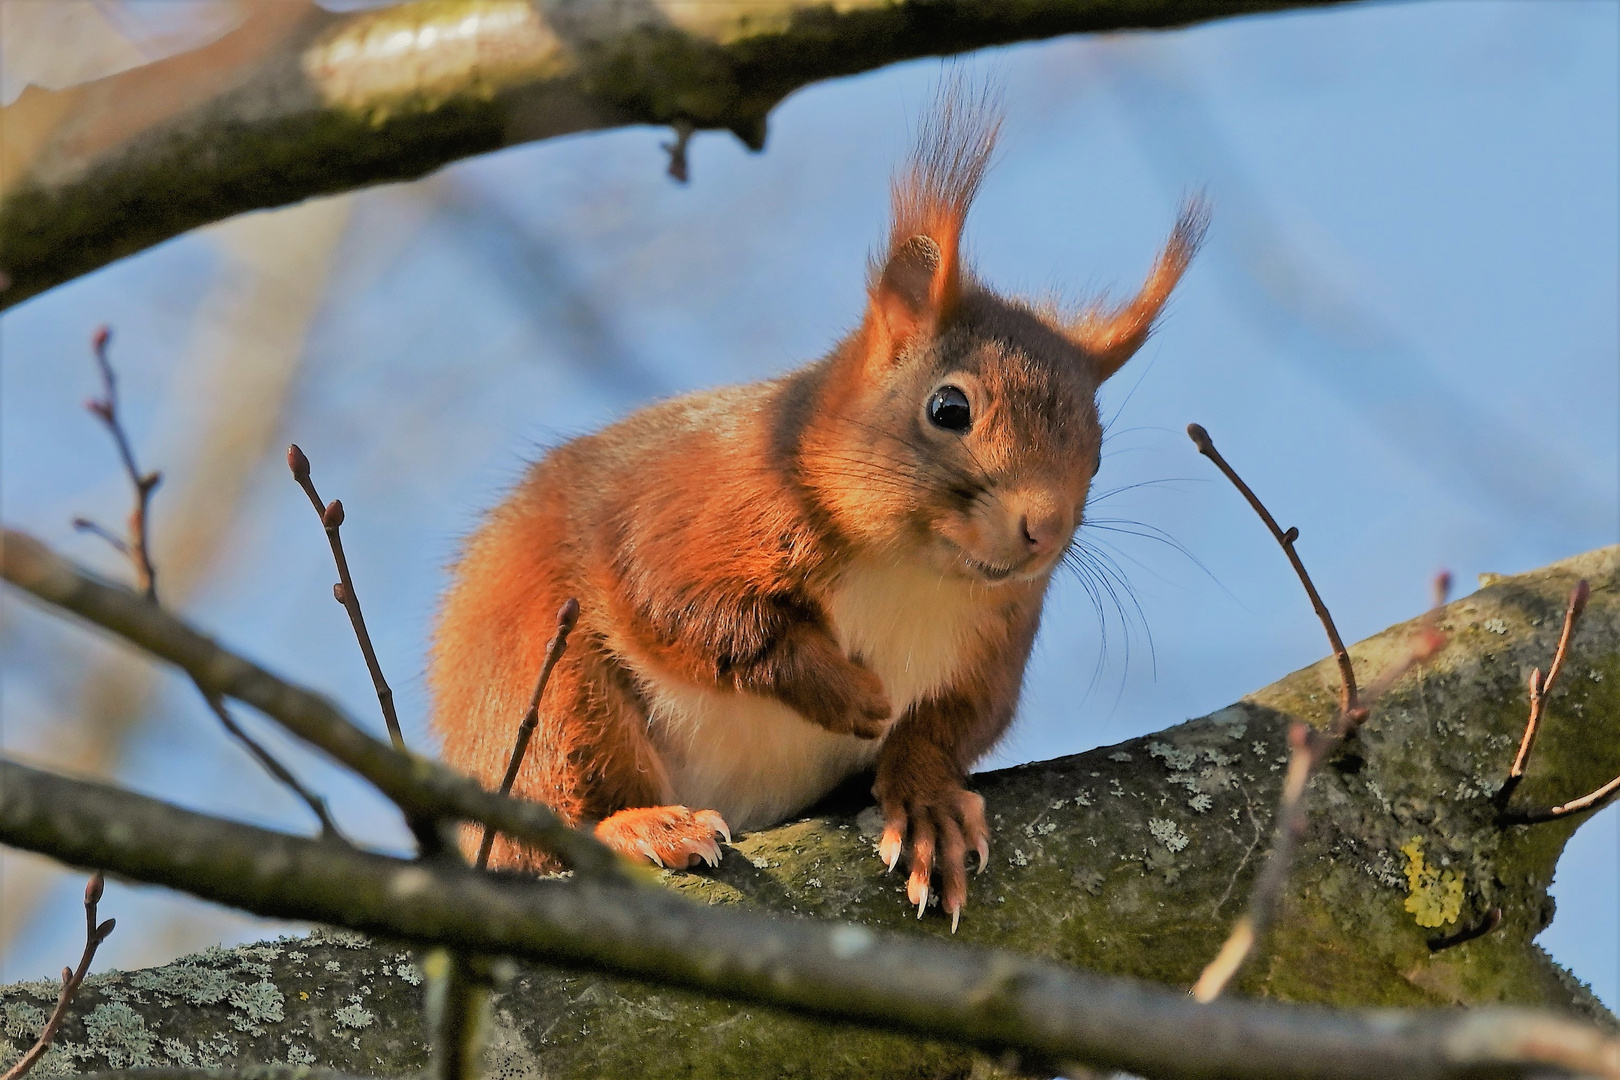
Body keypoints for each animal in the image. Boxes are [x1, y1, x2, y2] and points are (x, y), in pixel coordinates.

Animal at [430, 93, 1205, 932]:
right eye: (950, 408)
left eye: (1096, 455)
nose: (1045, 529)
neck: (913, 570)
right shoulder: (693, 510)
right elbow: (694, 613)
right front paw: (842, 689)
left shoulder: (993, 645)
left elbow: (951, 726)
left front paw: (927, 805)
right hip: (546, 689)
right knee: (560, 806)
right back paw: (643, 824)